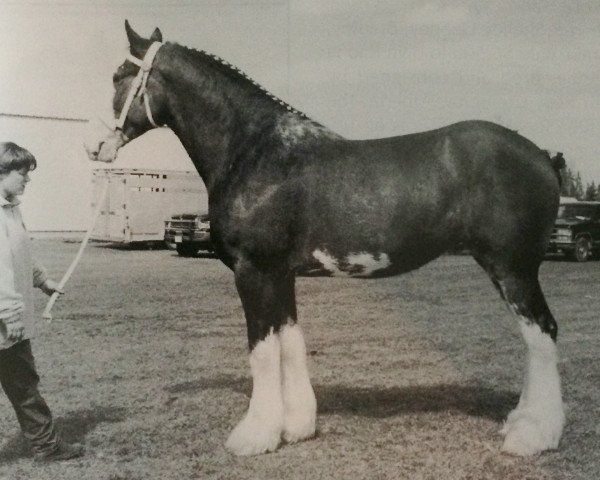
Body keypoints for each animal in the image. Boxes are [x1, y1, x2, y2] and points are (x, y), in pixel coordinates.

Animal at [85, 21, 568, 458]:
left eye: (118, 76)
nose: (93, 146)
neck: (255, 151)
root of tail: (543, 155)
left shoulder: (253, 271)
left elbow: (262, 351)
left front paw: (253, 437)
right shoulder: (280, 274)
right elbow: (290, 343)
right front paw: (296, 427)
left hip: (513, 268)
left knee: (541, 334)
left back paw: (533, 437)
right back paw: (519, 423)